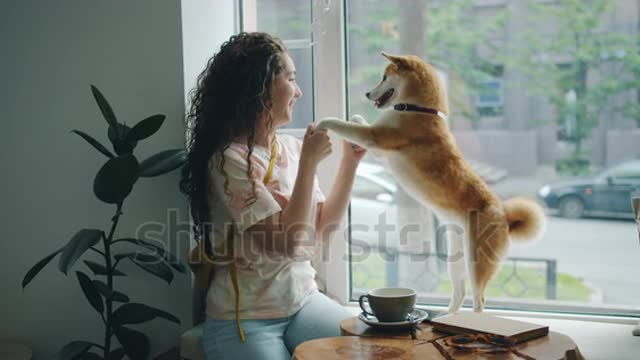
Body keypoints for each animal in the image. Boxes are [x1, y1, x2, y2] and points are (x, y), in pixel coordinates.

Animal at [318, 52, 544, 312]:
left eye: (384, 77)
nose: (366, 93)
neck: (419, 109)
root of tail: (506, 217)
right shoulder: (380, 148)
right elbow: (357, 120)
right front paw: (353, 122)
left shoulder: (377, 138)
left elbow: (343, 125)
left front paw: (323, 123)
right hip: (456, 260)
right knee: (460, 292)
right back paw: (449, 316)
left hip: (476, 262)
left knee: (479, 300)